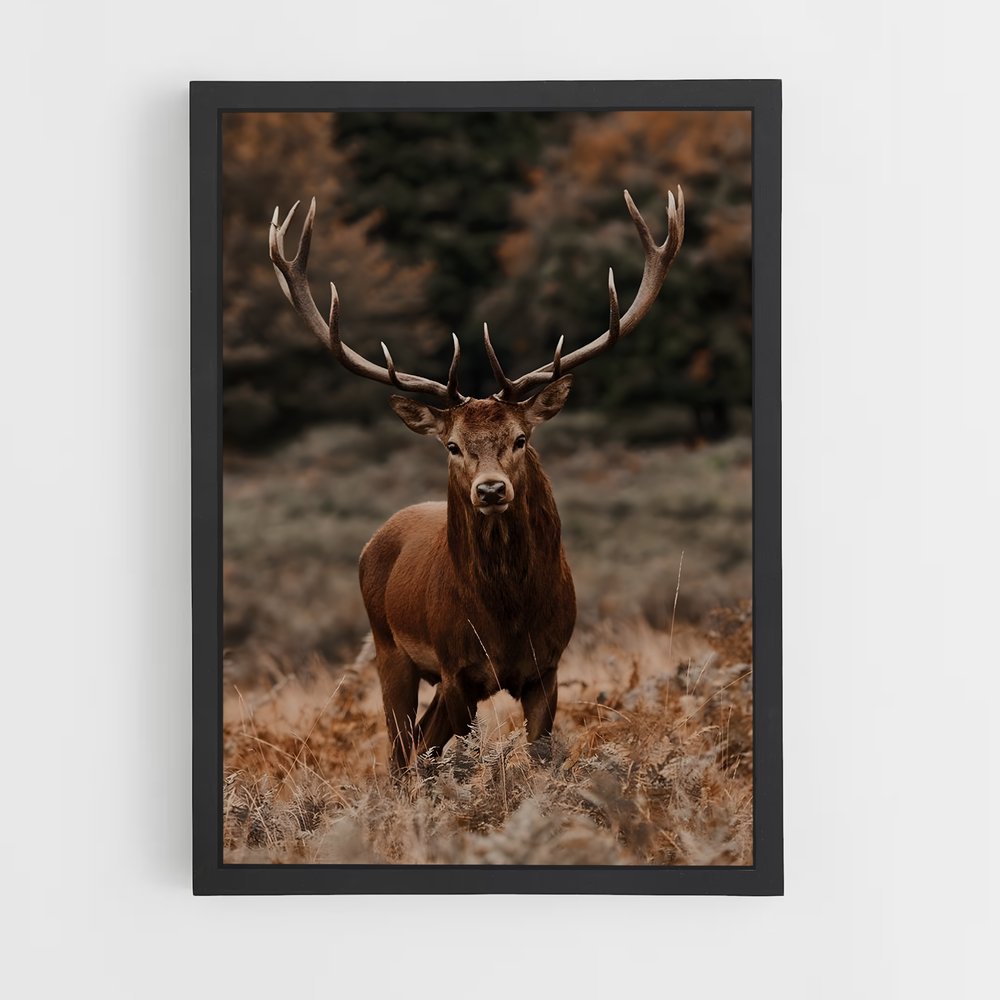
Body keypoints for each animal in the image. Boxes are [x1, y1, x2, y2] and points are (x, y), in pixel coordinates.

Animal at [268, 187, 684, 776]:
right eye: (452, 445)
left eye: (521, 438)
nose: (490, 490)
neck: (506, 618)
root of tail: (376, 540)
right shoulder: (457, 668)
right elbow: (457, 763)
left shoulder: (548, 667)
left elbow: (537, 758)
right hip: (388, 649)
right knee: (400, 753)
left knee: (418, 745)